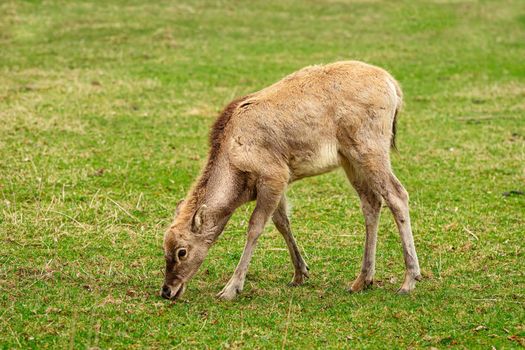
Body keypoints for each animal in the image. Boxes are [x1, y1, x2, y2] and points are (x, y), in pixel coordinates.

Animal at [160, 60, 422, 300]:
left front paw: (230, 289)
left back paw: (409, 280)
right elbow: (282, 222)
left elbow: (256, 227)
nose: (167, 291)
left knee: (397, 194)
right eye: (164, 247)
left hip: (370, 148)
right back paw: (362, 280)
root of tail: (393, 86)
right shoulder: (279, 182)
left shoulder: (274, 174)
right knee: (371, 202)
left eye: (182, 251)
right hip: (350, 160)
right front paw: (300, 273)